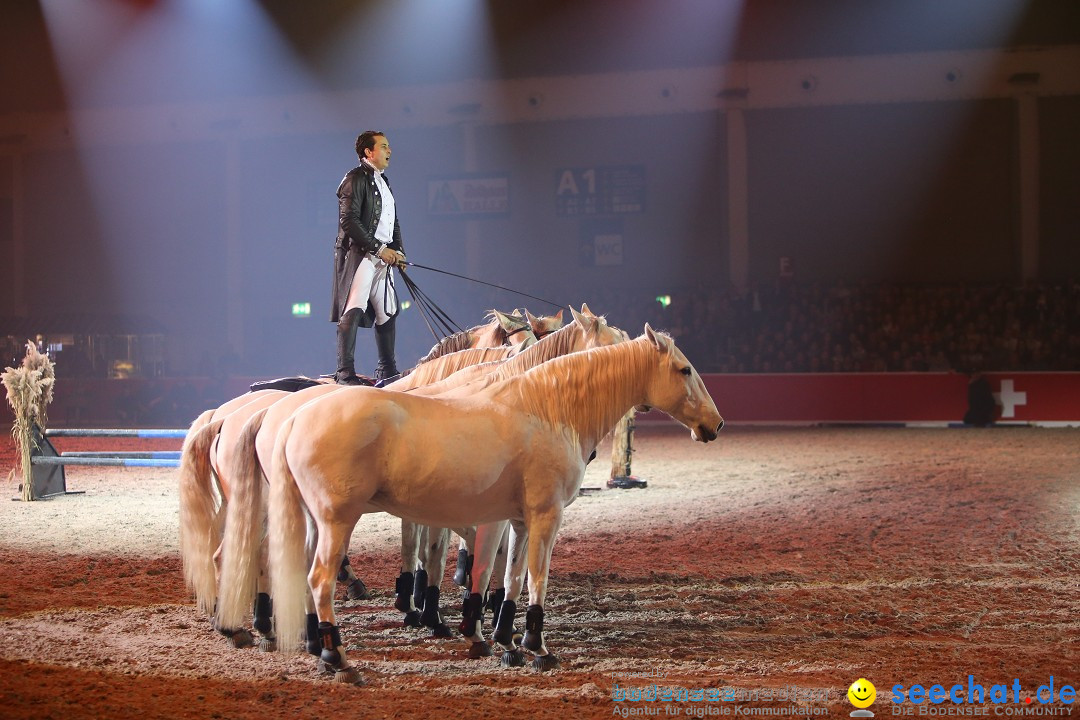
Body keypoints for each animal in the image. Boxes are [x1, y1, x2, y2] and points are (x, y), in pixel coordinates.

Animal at [264, 325, 721, 682]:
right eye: (684, 369)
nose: (714, 424)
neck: (548, 408)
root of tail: (293, 418)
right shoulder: (545, 517)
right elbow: (535, 579)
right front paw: (537, 648)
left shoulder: (517, 520)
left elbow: (512, 578)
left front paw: (507, 642)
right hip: (337, 521)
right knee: (320, 580)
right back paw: (337, 657)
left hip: (315, 522)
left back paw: (318, 648)